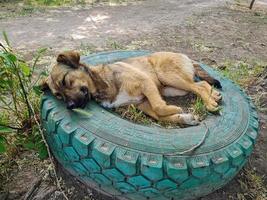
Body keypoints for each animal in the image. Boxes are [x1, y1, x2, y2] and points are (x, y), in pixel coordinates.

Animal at [40, 51, 223, 125]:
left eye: (65, 81)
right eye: (58, 95)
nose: (69, 106)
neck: (102, 84)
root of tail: (185, 55)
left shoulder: (146, 83)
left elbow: (159, 107)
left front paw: (175, 109)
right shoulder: (142, 104)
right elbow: (159, 116)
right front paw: (185, 118)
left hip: (167, 76)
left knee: (198, 86)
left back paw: (210, 104)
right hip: (171, 88)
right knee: (200, 85)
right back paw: (214, 96)